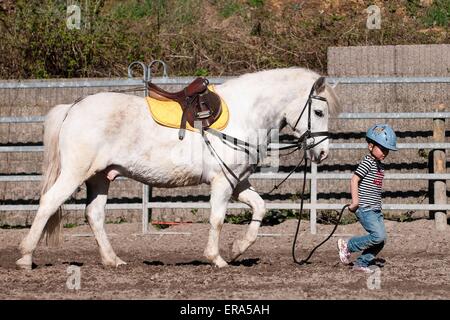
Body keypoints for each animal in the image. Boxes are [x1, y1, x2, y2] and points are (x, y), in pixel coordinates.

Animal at [15, 68, 340, 270]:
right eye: (318, 111)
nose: (322, 152)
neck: (245, 114)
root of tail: (73, 107)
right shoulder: (222, 182)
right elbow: (217, 219)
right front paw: (216, 258)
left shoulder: (237, 181)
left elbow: (260, 208)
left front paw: (237, 249)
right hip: (74, 173)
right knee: (49, 203)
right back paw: (25, 257)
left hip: (100, 178)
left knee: (94, 215)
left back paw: (112, 260)